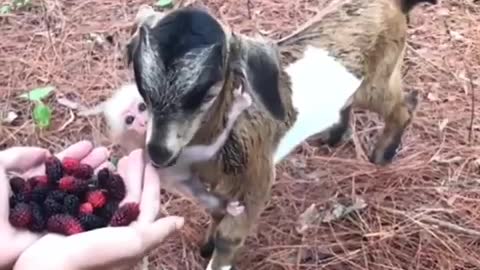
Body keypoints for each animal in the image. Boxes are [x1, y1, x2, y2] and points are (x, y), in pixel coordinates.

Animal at [126, 1, 436, 268]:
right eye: (143, 90)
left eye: (208, 92)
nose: (158, 152)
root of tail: (395, 5)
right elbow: (217, 211)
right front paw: (206, 246)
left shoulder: (257, 178)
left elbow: (229, 235)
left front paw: (217, 255)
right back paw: (335, 136)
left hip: (378, 81)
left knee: (403, 108)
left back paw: (382, 155)